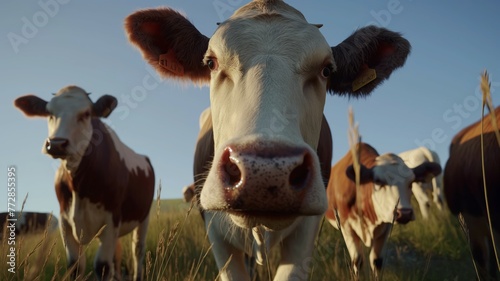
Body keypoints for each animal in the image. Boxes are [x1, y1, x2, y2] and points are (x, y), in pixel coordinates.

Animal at [14, 85, 154, 280]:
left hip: (143, 217)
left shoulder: (112, 219)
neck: (79, 185)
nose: (56, 144)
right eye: (49, 113)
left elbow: (103, 266)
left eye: (86, 114)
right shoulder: (65, 221)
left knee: (138, 250)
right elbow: (75, 266)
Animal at [326, 142, 440, 278]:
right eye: (378, 181)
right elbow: (357, 261)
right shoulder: (346, 226)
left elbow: (376, 261)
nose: (404, 214)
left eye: (411, 182)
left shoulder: (386, 226)